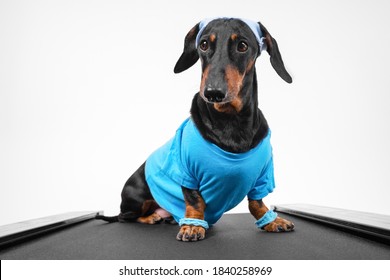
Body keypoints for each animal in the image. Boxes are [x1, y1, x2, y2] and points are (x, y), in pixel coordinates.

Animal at [96, 17, 294, 241]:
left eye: (242, 46)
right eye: (204, 44)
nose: (213, 92)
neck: (230, 121)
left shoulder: (263, 176)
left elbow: (256, 203)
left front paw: (271, 220)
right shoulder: (187, 171)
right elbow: (195, 201)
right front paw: (192, 225)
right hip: (136, 196)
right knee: (125, 217)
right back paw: (151, 217)